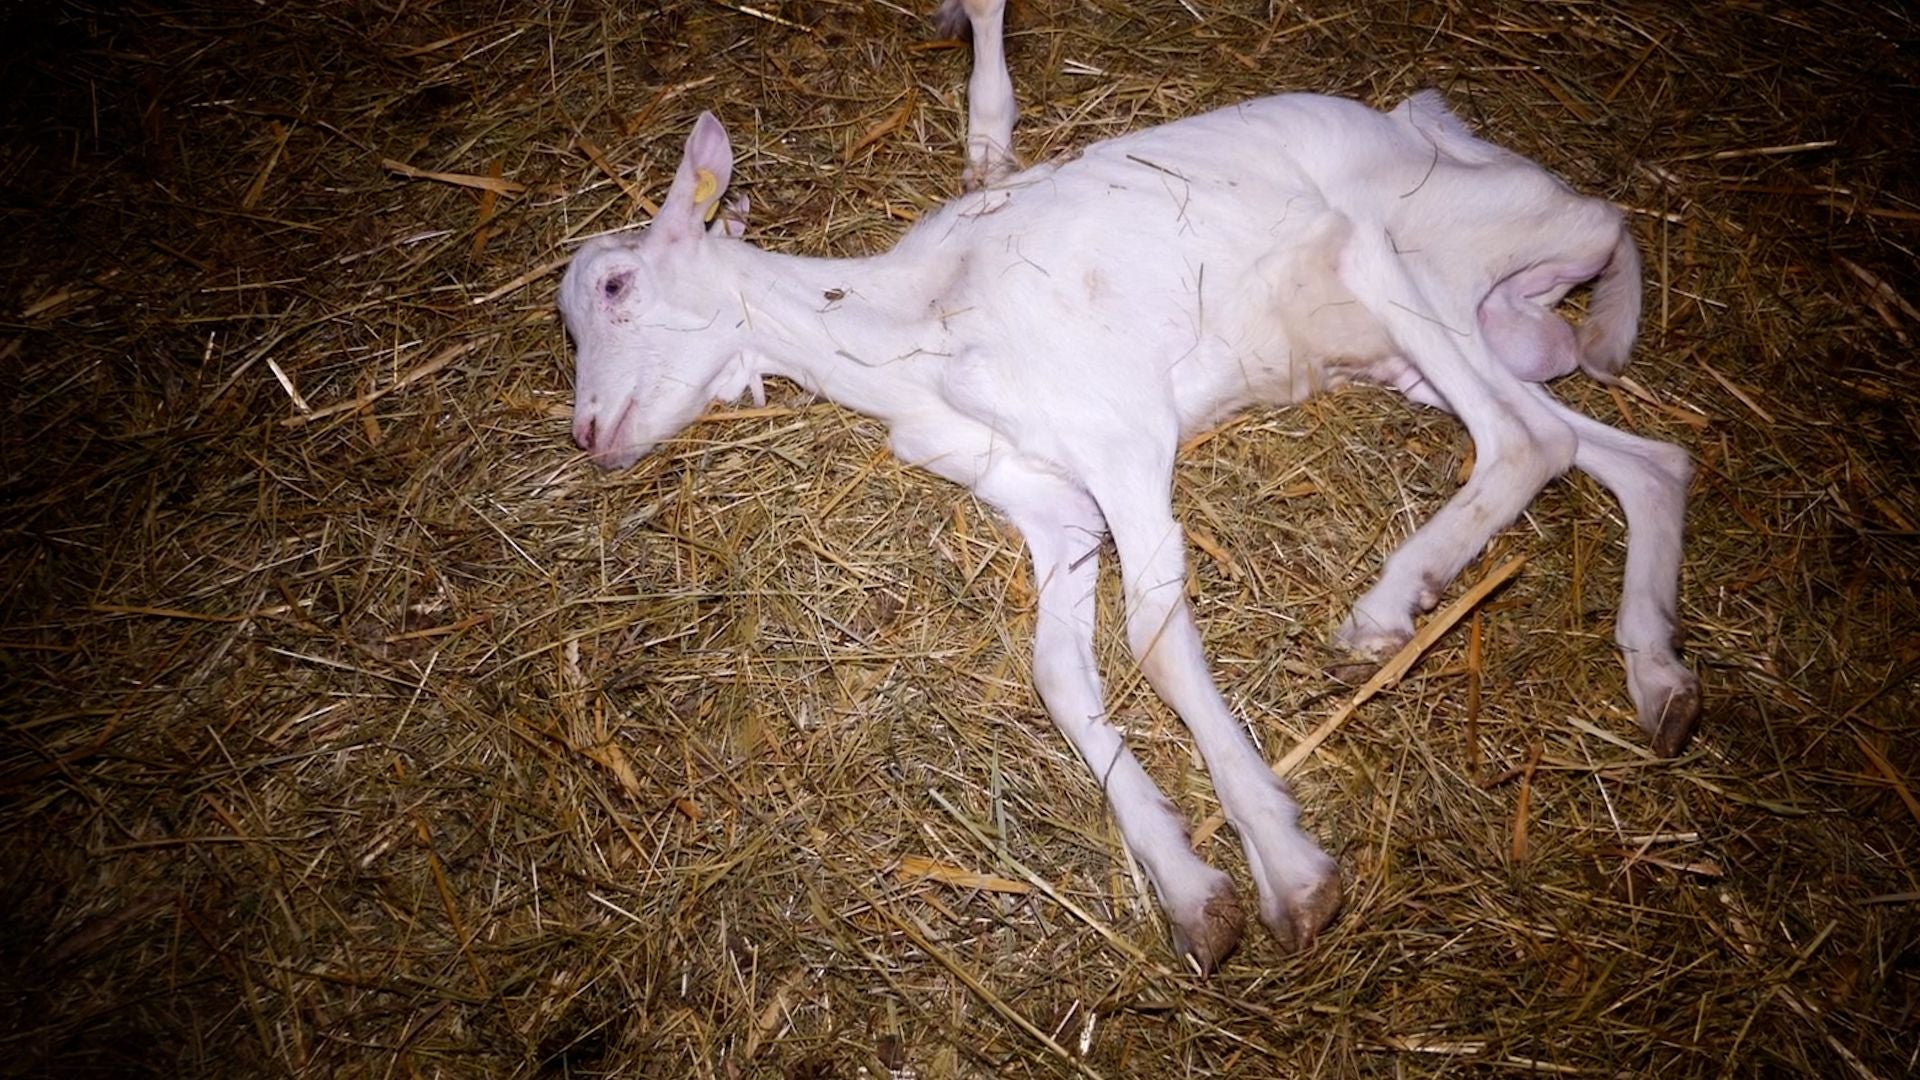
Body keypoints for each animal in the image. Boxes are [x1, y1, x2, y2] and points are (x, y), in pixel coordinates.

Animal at [559, 5, 1699, 970]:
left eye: (616, 285)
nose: (588, 435)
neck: (915, 325)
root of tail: (1579, 212)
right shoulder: (1053, 506)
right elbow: (1058, 671)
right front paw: (1195, 894)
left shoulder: (1122, 436)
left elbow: (1152, 627)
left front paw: (1292, 876)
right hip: (1449, 339)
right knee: (1642, 457)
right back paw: (1660, 679)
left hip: (1396, 261)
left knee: (1523, 438)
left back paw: (1388, 608)